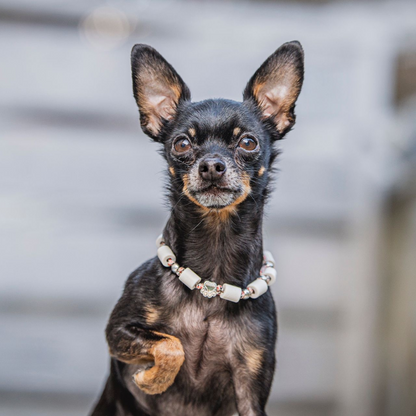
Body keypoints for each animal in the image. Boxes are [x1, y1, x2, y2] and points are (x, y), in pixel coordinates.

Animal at [91, 39, 304, 416]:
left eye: (248, 142)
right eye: (182, 144)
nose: (212, 166)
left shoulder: (251, 383)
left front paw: (154, 378)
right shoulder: (118, 331)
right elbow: (170, 344)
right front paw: (154, 380)